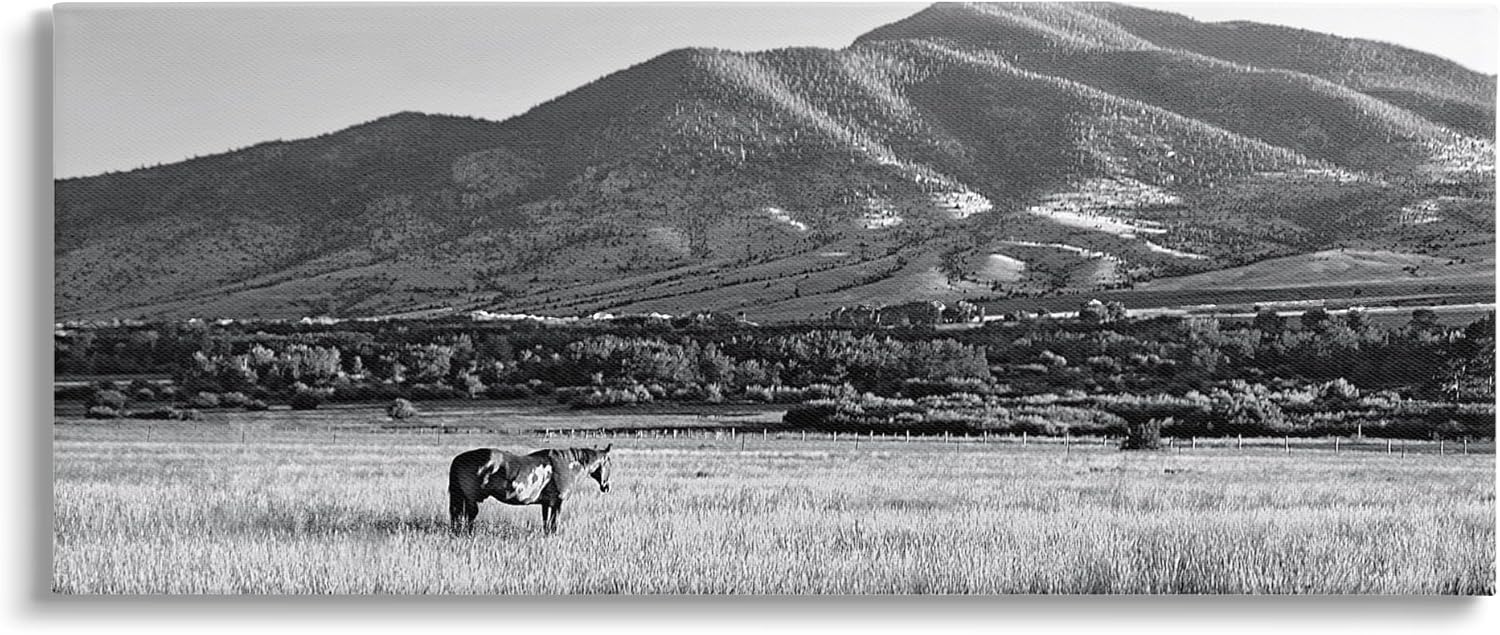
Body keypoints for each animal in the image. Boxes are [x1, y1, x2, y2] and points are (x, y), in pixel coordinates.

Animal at [447, 444, 612, 535]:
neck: (567, 464)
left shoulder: (546, 504)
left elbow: (546, 522)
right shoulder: (558, 503)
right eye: (609, 463)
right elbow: (554, 523)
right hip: (470, 499)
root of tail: (459, 458)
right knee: (469, 516)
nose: (606, 486)